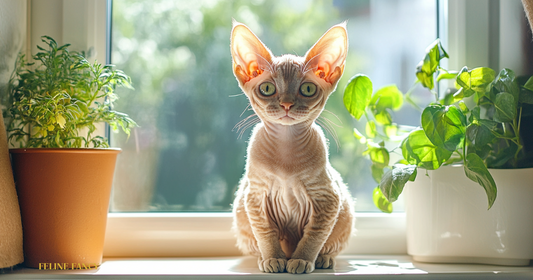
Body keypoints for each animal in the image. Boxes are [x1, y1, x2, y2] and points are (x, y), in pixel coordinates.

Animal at [229, 20, 354, 274]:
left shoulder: (328, 198)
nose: (286, 104)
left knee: (330, 245)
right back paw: (265, 258)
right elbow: (265, 232)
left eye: (307, 89)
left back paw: (323, 259)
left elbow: (313, 236)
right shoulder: (254, 196)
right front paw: (272, 258)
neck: (286, 147)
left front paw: (303, 260)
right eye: (267, 88)